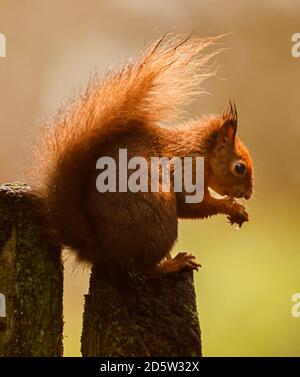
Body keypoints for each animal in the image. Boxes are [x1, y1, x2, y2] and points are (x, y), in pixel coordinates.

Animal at [29, 34, 253, 282]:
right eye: (240, 167)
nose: (248, 194)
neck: (200, 151)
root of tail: (99, 248)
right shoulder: (186, 170)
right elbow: (192, 205)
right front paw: (233, 208)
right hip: (157, 216)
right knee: (141, 269)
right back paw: (173, 264)